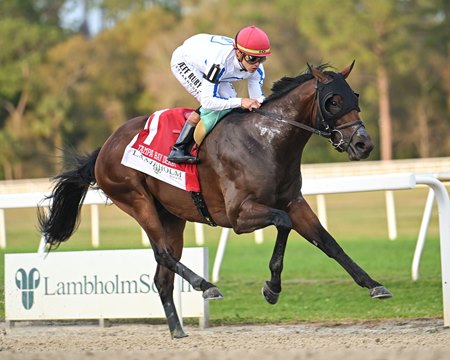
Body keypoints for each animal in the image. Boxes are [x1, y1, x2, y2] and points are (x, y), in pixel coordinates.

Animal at [38, 63, 390, 338]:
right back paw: (205, 285)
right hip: (137, 200)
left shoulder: (294, 202)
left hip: (172, 217)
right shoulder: (240, 216)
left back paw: (178, 330)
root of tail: (105, 147)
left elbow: (328, 242)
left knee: (162, 275)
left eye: (355, 97)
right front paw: (272, 288)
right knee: (163, 254)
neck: (267, 141)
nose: (364, 144)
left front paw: (373, 284)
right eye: (333, 101)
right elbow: (283, 223)